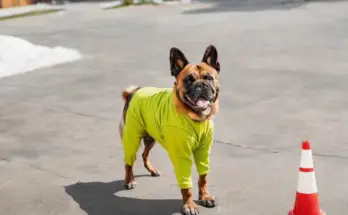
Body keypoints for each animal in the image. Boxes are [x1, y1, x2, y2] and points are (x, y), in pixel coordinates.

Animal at [118, 44, 219, 214]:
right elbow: (186, 185)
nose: (200, 85)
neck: (194, 117)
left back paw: (152, 170)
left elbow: (203, 177)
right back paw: (129, 180)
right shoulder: (181, 156)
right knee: (129, 161)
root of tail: (133, 91)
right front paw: (189, 205)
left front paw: (205, 196)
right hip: (132, 137)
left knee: (145, 154)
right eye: (188, 80)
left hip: (150, 137)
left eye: (209, 78)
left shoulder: (203, 152)